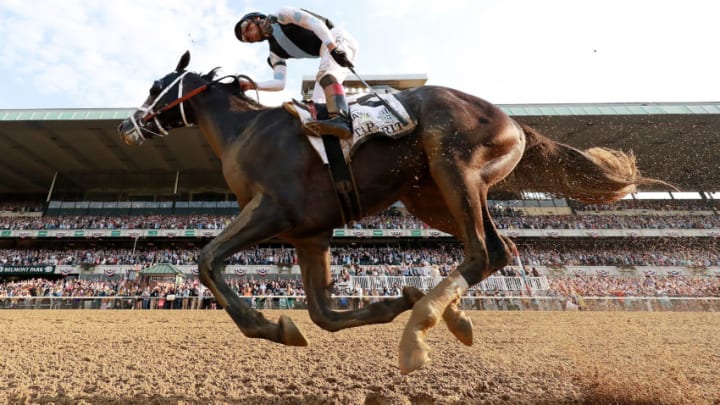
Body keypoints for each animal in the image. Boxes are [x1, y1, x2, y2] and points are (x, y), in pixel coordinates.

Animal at [119, 52, 668, 374]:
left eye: (156, 84)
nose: (129, 126)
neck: (248, 132)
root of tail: (515, 122)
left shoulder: (272, 210)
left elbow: (208, 260)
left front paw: (266, 324)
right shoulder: (311, 234)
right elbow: (322, 315)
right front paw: (382, 304)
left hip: (454, 165)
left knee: (482, 251)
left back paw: (421, 328)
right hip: (429, 196)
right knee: (501, 249)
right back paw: (448, 313)